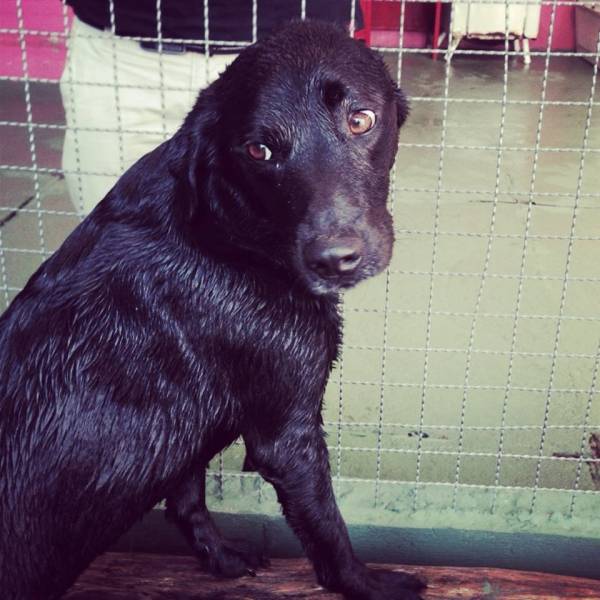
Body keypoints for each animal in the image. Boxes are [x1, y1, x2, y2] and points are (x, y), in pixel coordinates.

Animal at [0, 19, 424, 600]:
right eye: (258, 150)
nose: (334, 259)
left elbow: (188, 501)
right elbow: (327, 531)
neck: (228, 230)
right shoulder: (285, 435)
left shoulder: (186, 429)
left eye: (361, 119)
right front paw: (368, 584)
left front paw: (219, 559)